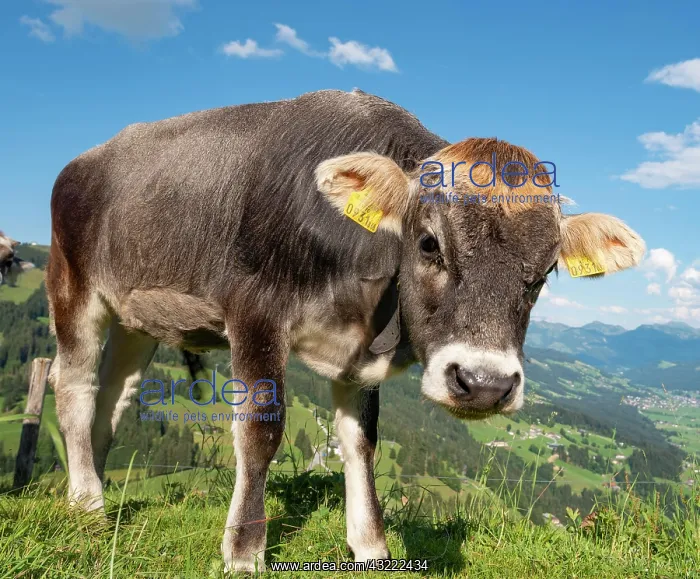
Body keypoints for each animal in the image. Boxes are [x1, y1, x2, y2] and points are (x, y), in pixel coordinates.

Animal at [45, 89, 645, 572]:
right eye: (429, 243)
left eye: (544, 274)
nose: (484, 385)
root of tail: (85, 158)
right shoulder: (254, 314)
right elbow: (261, 430)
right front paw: (244, 552)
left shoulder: (358, 356)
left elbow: (361, 443)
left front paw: (372, 546)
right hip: (73, 287)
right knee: (73, 387)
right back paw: (88, 504)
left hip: (136, 317)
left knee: (114, 397)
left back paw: (92, 486)